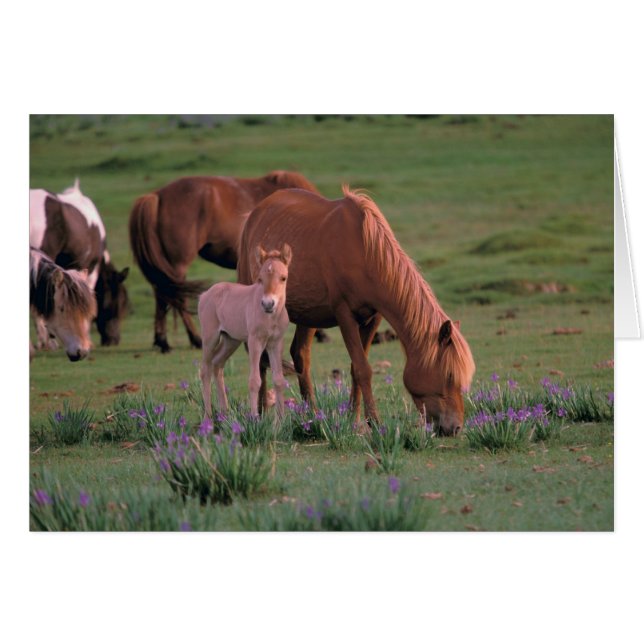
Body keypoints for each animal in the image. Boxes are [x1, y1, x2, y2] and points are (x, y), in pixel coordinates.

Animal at [129, 170, 323, 353]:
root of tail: (156, 196)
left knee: (162, 295)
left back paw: (163, 341)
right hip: (178, 266)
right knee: (174, 297)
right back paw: (193, 339)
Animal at [199, 244, 291, 419]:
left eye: (283, 278)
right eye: (260, 279)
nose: (268, 304)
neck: (271, 316)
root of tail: (205, 294)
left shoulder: (276, 343)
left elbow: (279, 380)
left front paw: (281, 421)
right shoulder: (255, 341)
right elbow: (255, 381)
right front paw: (255, 419)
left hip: (230, 340)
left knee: (217, 364)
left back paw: (225, 414)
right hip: (210, 338)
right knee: (205, 370)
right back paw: (208, 417)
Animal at [237, 187, 476, 436]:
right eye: (449, 375)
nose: (456, 427)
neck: (365, 252)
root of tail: (255, 214)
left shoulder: (373, 317)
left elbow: (355, 368)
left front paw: (355, 419)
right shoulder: (345, 315)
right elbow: (363, 369)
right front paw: (375, 422)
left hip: (308, 315)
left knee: (300, 355)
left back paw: (312, 415)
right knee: (259, 359)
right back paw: (261, 414)